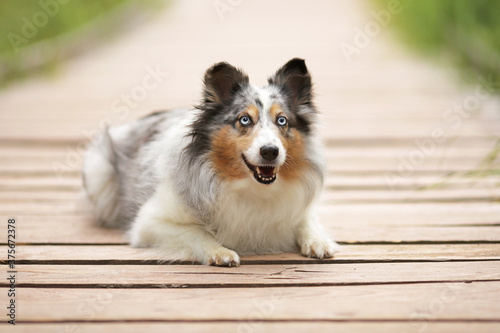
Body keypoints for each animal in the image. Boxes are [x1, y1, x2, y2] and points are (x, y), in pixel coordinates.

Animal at [83, 57, 340, 264]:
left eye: (282, 120)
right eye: (244, 119)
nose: (270, 151)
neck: (252, 188)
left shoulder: (298, 208)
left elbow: (306, 221)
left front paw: (318, 241)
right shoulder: (149, 223)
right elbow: (196, 233)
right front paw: (219, 252)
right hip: (99, 172)